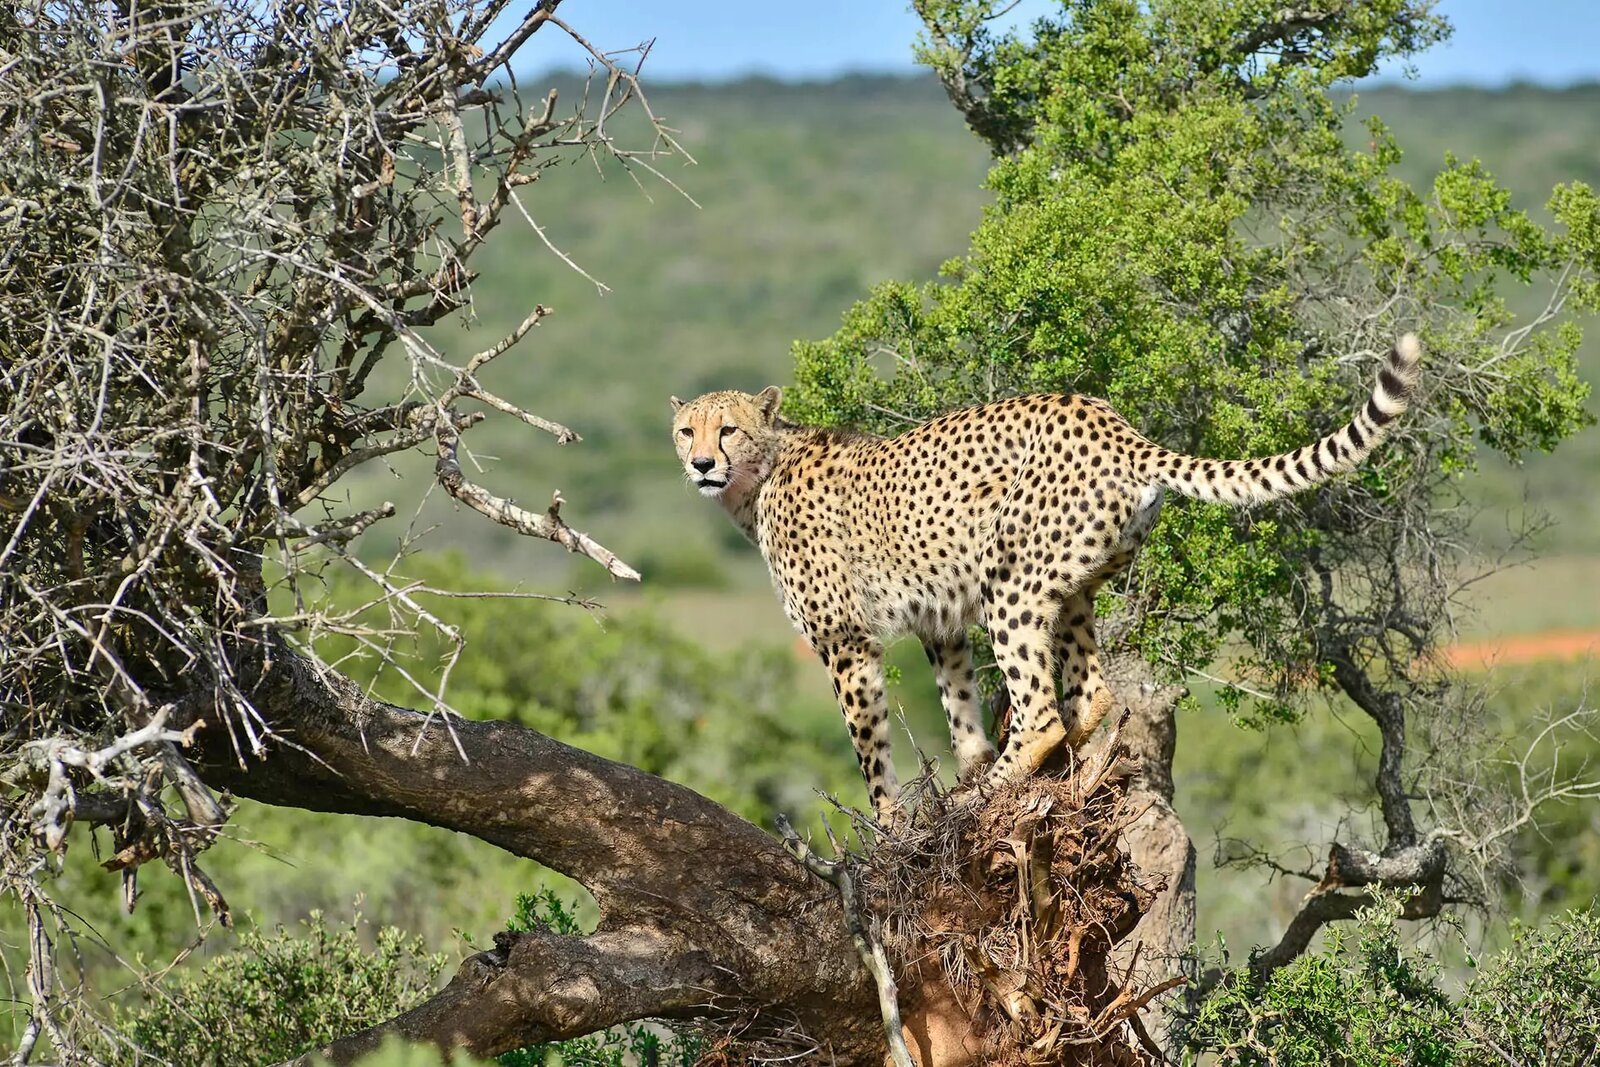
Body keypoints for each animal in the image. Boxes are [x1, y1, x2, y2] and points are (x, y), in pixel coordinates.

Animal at [671, 335, 1422, 822]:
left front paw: (890, 825)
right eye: (686, 430)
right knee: (1089, 693)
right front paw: (967, 767)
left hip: (1009, 582)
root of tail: (1110, 419)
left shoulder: (845, 643)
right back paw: (1031, 778)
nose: (701, 463)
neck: (759, 478)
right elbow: (959, 703)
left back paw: (991, 793)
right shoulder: (940, 620)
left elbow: (870, 750)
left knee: (1041, 713)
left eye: (728, 430)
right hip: (1071, 586)